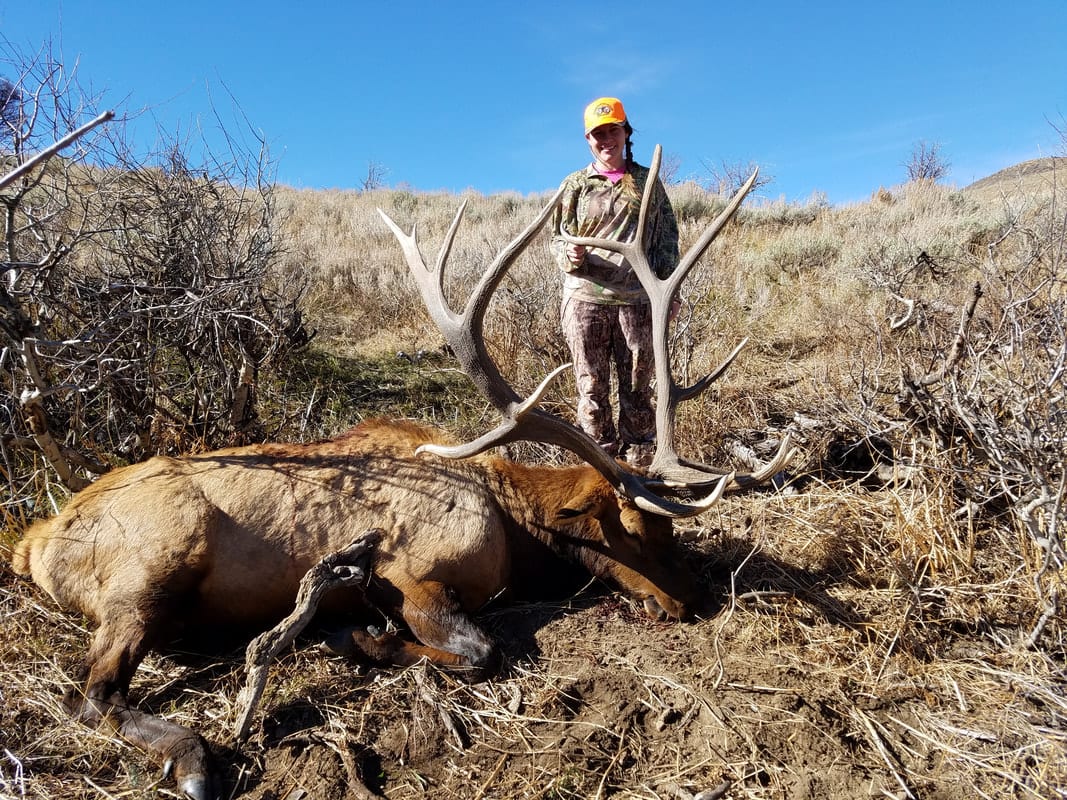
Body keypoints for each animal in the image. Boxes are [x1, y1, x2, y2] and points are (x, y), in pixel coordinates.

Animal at [11, 145, 794, 800]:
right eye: (631, 526)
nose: (695, 600)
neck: (514, 524)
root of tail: (34, 542)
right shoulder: (408, 568)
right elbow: (476, 649)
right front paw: (354, 637)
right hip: (151, 566)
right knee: (91, 692)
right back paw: (195, 758)